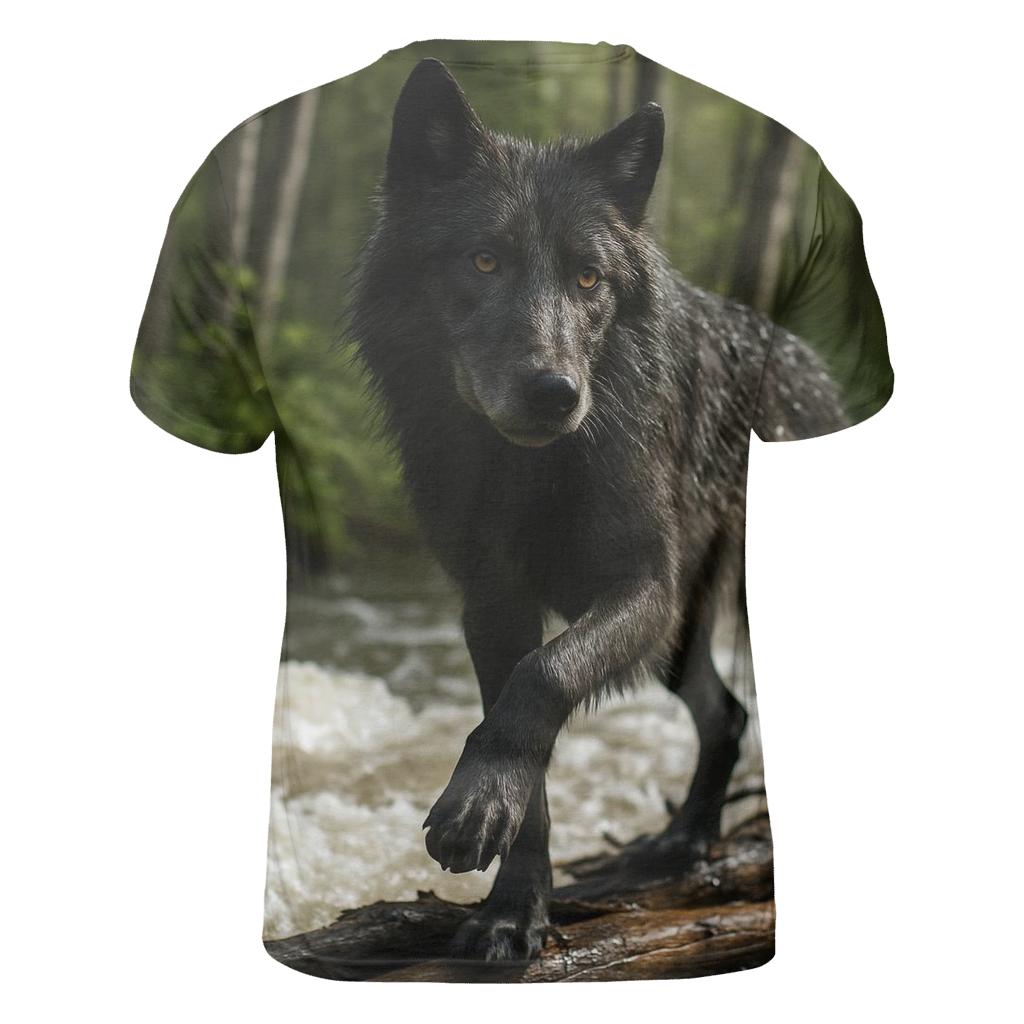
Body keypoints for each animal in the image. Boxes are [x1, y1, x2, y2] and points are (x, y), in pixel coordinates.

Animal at [349, 58, 847, 962]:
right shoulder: (493, 604)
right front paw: (513, 909)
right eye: (484, 260)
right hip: (680, 645)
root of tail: (811, 364)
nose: (555, 392)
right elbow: (529, 747)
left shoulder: (643, 587)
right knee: (727, 715)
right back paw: (681, 844)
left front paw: (476, 814)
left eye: (589, 278)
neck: (534, 472)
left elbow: (544, 679)